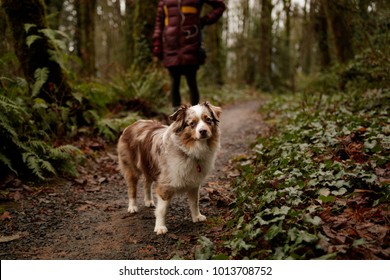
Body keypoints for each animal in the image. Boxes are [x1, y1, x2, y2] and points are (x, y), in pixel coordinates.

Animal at [117, 101, 221, 234]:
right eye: (192, 123)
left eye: (208, 120)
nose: (203, 131)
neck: (188, 150)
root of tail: (132, 124)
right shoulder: (165, 184)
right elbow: (162, 210)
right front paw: (160, 227)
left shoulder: (194, 183)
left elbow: (195, 202)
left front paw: (197, 216)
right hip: (132, 169)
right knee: (132, 188)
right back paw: (132, 207)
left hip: (149, 167)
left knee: (147, 183)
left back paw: (148, 201)